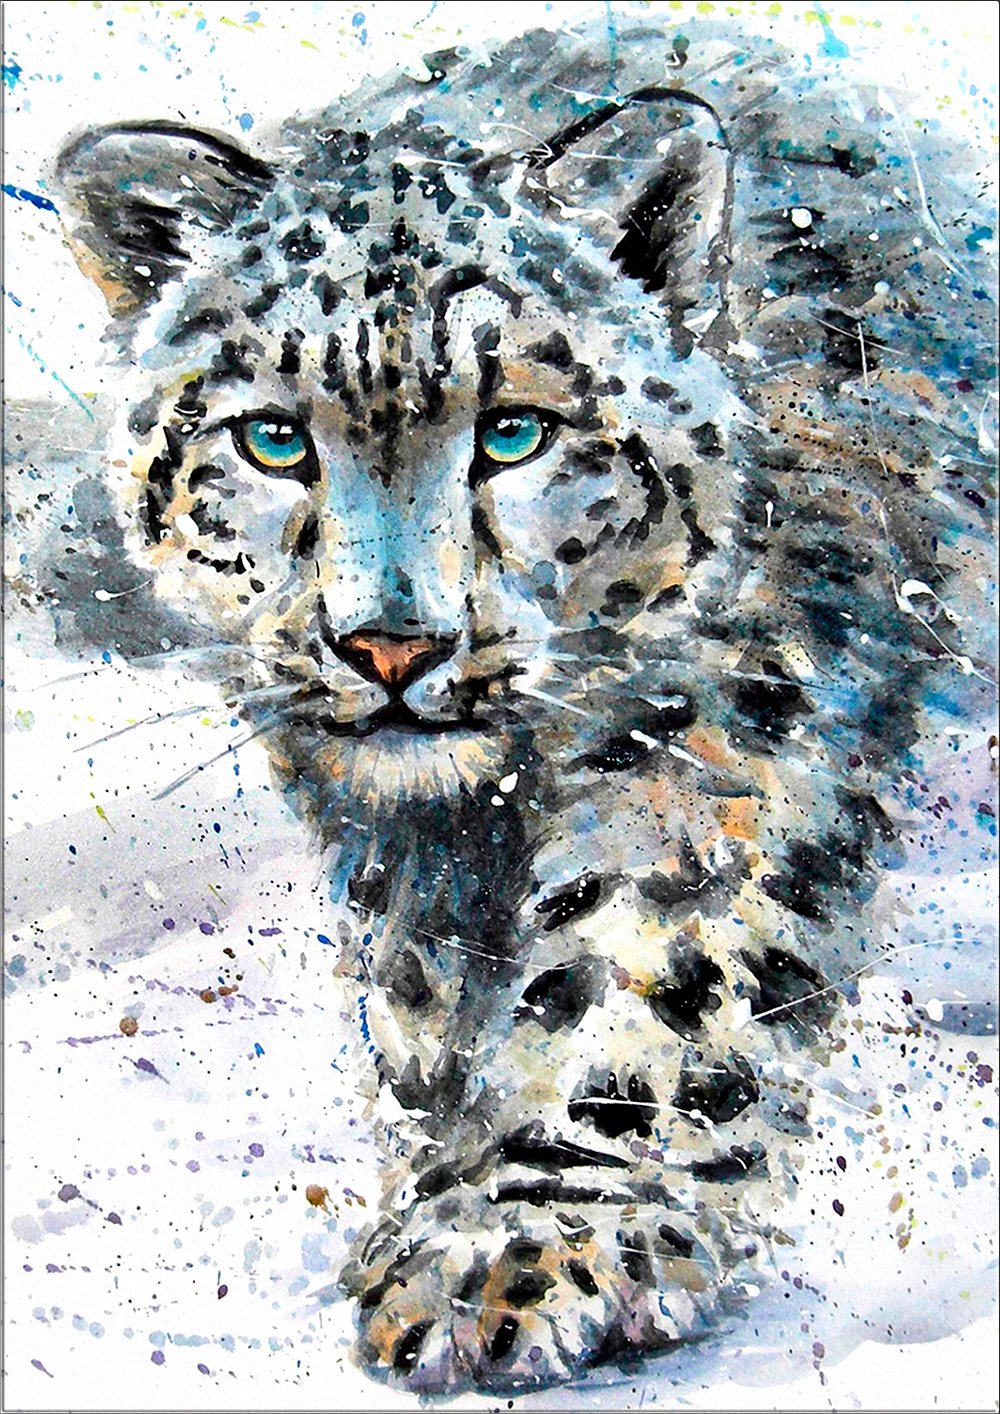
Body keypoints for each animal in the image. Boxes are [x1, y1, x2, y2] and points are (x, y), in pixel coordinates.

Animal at [52, 16, 996, 1394]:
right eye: (271, 438)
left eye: (512, 432)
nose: (390, 644)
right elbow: (417, 980)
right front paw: (441, 1130)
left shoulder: (719, 737)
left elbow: (651, 965)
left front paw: (521, 1233)